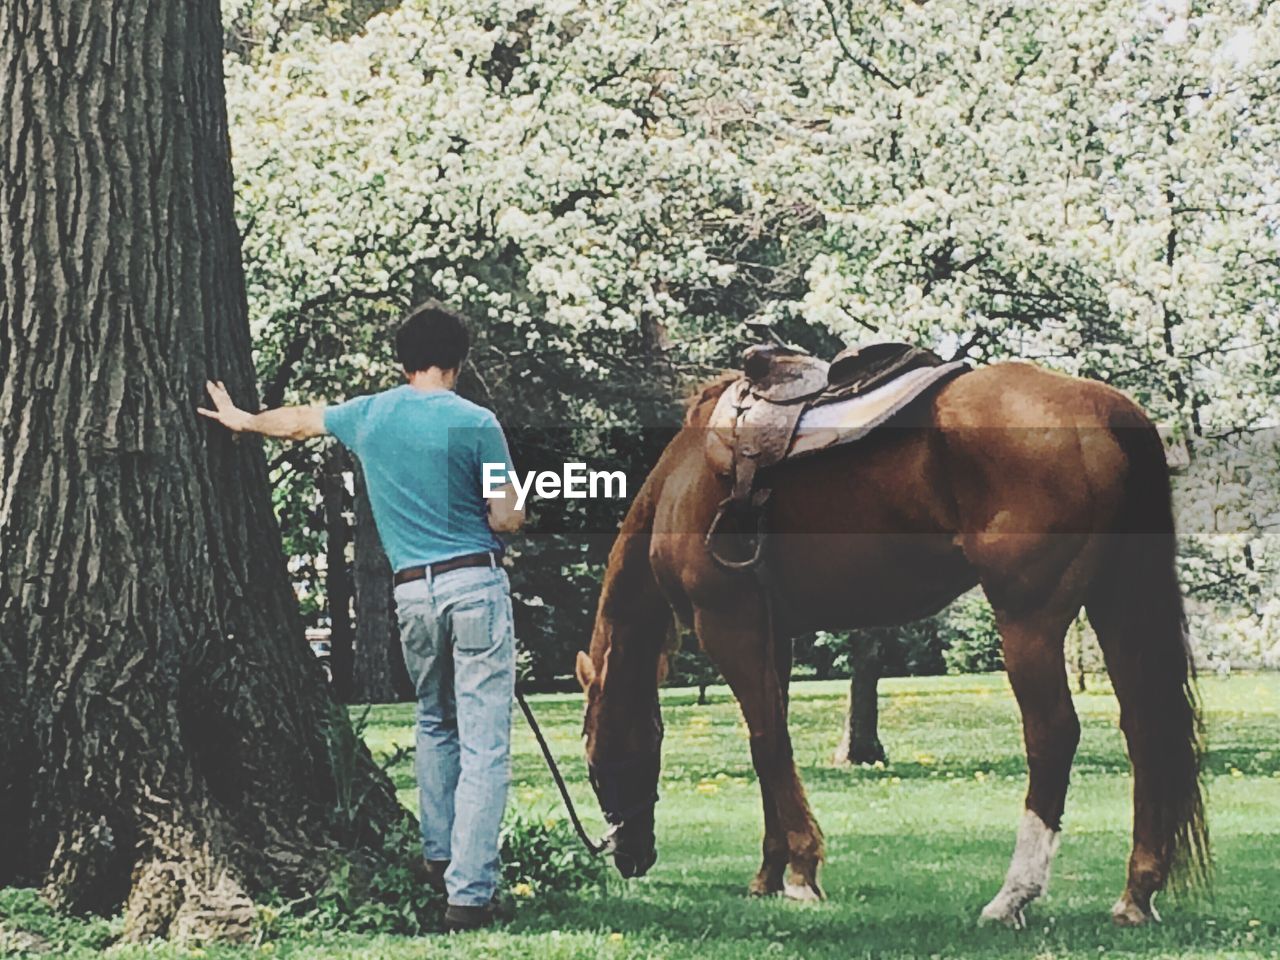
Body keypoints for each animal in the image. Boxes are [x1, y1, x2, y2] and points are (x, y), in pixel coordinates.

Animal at [576, 358, 1203, 926]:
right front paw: (770, 873)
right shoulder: (771, 638)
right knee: (1145, 728)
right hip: (1115, 602)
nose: (628, 857)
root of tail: (1103, 405)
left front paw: (801, 871)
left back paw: (1012, 896)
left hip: (1028, 619)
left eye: (593, 759)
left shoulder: (728, 626)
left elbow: (768, 745)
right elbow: (770, 741)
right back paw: (1136, 894)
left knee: (1052, 734)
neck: (683, 479)